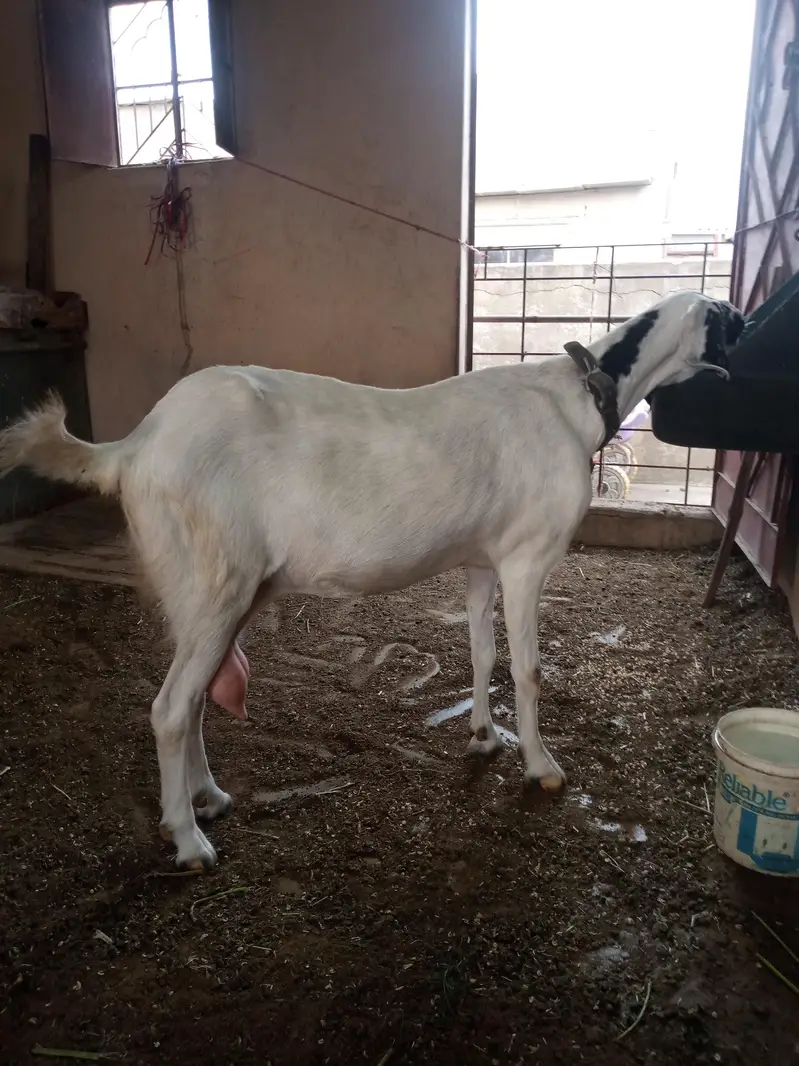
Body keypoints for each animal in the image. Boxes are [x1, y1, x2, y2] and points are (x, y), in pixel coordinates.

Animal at [0, 290, 744, 870]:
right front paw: (542, 767)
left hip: (208, 591)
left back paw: (207, 798)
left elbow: (482, 652)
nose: (747, 337)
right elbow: (529, 669)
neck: (575, 400)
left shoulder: (481, 558)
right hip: (216, 580)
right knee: (169, 707)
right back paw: (187, 841)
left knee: (196, 699)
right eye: (729, 319)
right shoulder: (527, 557)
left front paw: (484, 736)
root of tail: (134, 447)